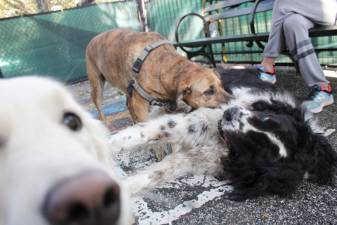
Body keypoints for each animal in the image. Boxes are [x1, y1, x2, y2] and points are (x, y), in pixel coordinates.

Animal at [85, 29, 230, 123]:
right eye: (209, 91)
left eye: (222, 86)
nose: (233, 100)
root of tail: (92, 39)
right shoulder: (140, 104)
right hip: (97, 85)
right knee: (100, 107)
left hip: (128, 88)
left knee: (128, 105)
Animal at [109, 69, 334, 200]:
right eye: (267, 118)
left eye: (255, 145)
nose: (230, 114)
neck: (223, 142)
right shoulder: (200, 119)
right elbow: (142, 133)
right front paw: (108, 142)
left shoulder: (192, 157)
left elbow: (155, 174)